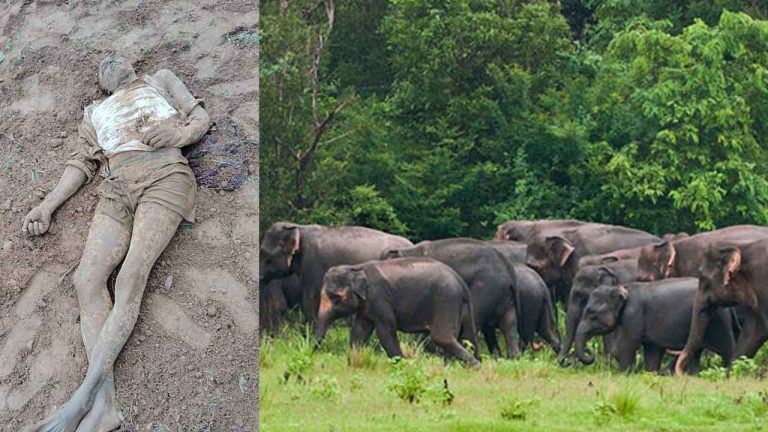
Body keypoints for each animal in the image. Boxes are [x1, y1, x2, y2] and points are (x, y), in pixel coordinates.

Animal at [314, 258, 481, 367]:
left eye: (335, 298)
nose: (312, 353)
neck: (357, 267)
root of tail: (460, 281)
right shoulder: (367, 305)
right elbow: (359, 332)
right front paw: (352, 364)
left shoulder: (379, 297)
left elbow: (386, 331)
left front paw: (403, 366)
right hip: (458, 305)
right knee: (466, 335)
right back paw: (457, 365)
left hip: (446, 300)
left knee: (442, 336)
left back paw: (473, 366)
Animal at [383, 238, 522, 358]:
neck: (408, 250)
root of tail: (509, 271)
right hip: (505, 297)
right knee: (509, 325)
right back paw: (511, 358)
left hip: (486, 288)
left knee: (474, 321)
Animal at [575, 277, 737, 372]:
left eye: (591, 313)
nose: (589, 351)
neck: (623, 287)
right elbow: (652, 350)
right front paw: (651, 373)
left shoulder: (634, 314)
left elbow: (625, 346)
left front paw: (624, 374)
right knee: (695, 353)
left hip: (718, 321)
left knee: (727, 349)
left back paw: (727, 373)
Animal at [675, 239, 768, 375]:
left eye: (702, 277)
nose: (683, 373)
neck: (743, 246)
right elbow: (753, 331)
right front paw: (730, 374)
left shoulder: (763, 283)